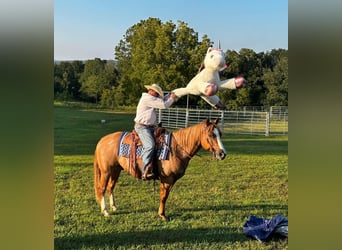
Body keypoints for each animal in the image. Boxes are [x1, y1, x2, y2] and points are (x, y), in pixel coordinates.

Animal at [94, 116, 227, 220]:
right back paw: (105, 211)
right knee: (102, 189)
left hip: (116, 170)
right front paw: (162, 215)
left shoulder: (171, 180)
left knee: (111, 187)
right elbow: (163, 196)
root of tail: (102, 140)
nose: (222, 154)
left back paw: (114, 207)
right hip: (106, 171)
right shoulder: (167, 179)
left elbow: (165, 196)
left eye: (220, 134)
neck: (176, 149)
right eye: (211, 135)